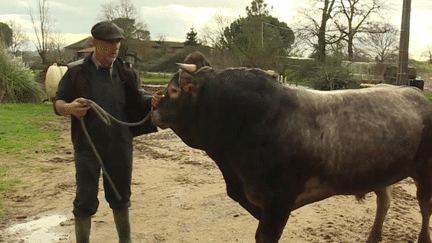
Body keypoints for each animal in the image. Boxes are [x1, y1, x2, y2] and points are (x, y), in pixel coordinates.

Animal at [150, 51, 432, 243]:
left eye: (173, 90)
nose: (153, 110)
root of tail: (416, 93)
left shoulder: (278, 201)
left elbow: (265, 237)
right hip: (378, 171)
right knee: (385, 200)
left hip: (424, 172)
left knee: (425, 206)